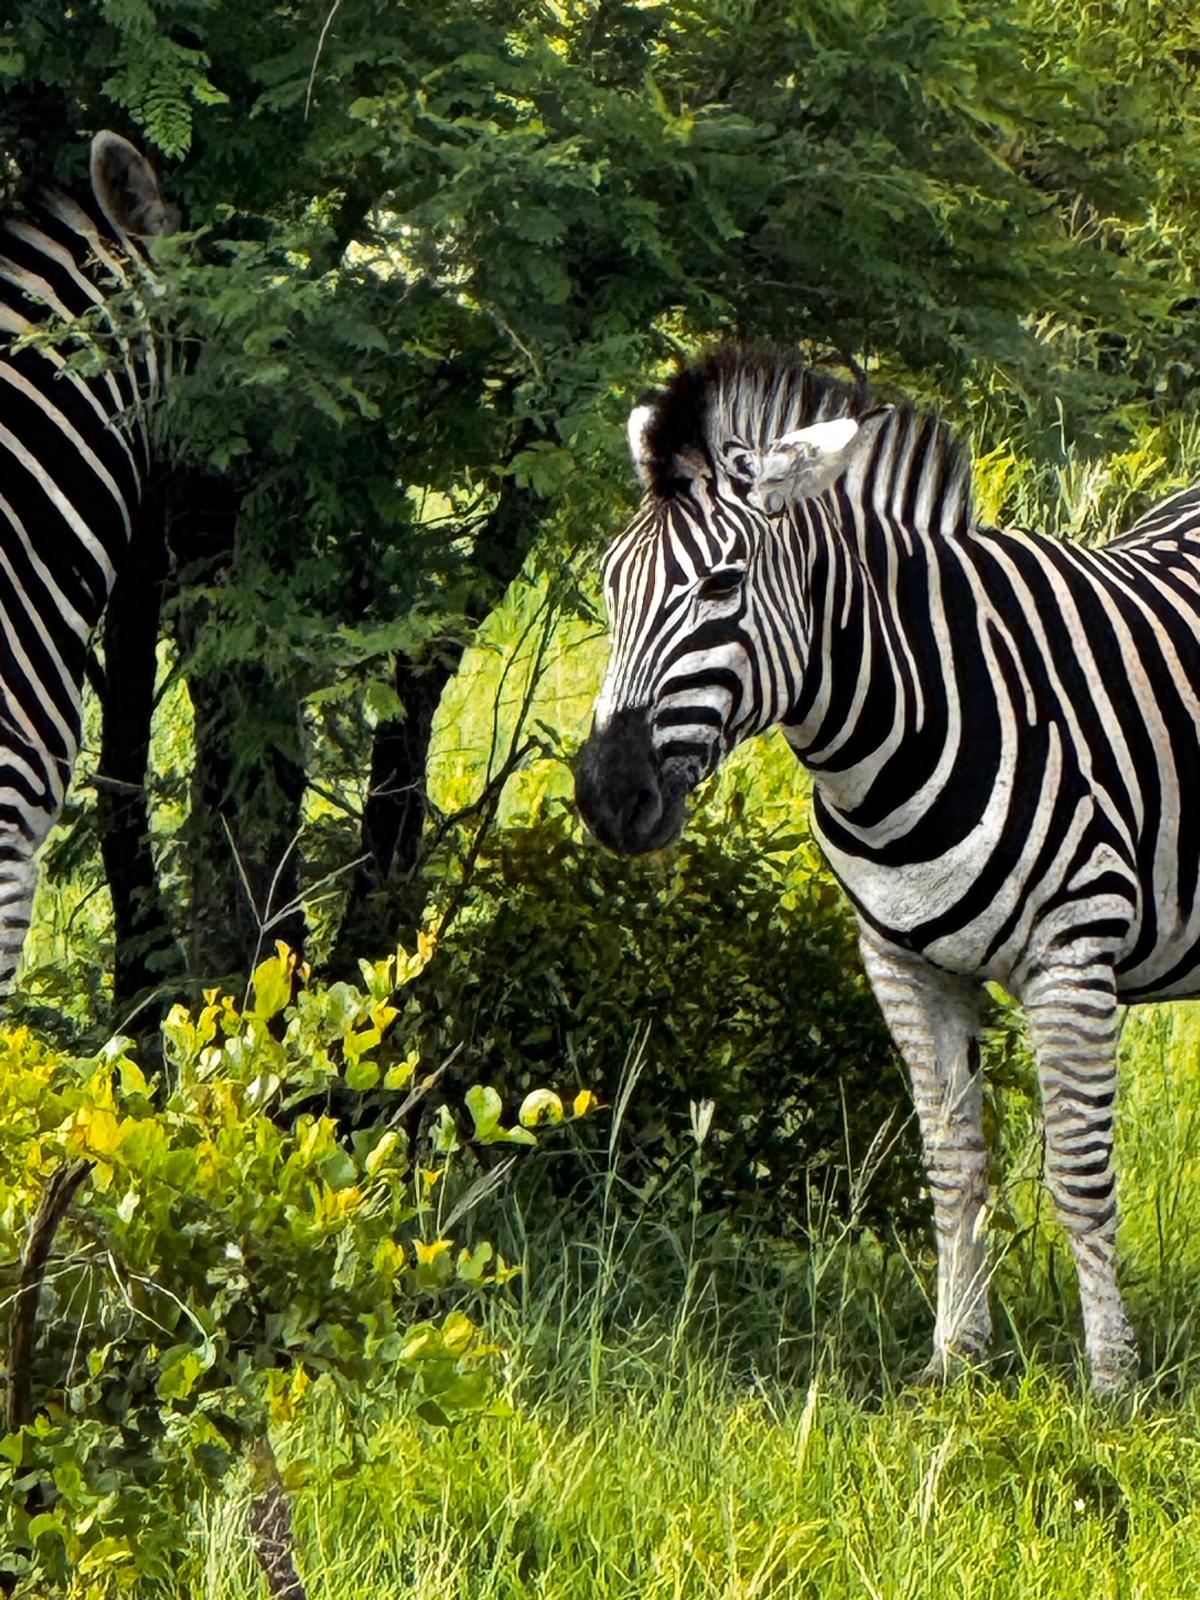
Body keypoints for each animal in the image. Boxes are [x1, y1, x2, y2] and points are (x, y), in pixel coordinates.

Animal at [574, 341, 1200, 1393]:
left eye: (721, 586)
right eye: (611, 585)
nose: (606, 796)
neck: (903, 721)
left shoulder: (1074, 957)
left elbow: (1079, 1175)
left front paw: (1112, 1384)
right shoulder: (903, 962)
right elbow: (953, 1164)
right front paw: (956, 1363)